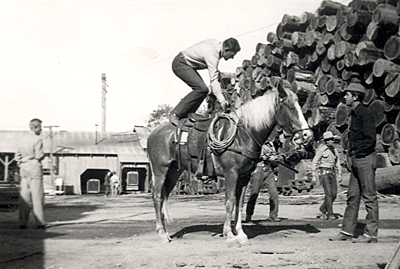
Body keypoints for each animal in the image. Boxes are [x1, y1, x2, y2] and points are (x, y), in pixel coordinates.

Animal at [147, 84, 312, 245]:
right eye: (291, 108)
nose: (307, 135)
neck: (242, 135)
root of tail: (153, 133)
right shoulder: (231, 173)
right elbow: (229, 202)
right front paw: (229, 234)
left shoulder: (244, 176)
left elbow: (239, 204)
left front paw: (240, 233)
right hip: (160, 171)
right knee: (157, 197)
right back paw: (161, 234)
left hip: (174, 172)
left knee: (163, 197)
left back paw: (165, 232)